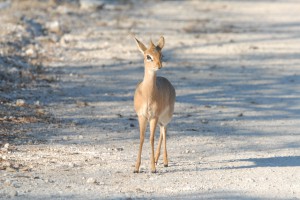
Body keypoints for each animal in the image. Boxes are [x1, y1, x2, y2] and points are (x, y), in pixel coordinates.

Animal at [132, 35, 176, 173]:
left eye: (161, 55)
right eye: (148, 56)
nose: (159, 65)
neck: (148, 95)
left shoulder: (153, 117)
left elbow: (151, 138)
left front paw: (152, 168)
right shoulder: (142, 116)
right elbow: (141, 138)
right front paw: (136, 168)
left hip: (165, 117)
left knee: (164, 131)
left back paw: (165, 162)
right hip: (159, 119)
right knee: (162, 131)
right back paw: (157, 159)